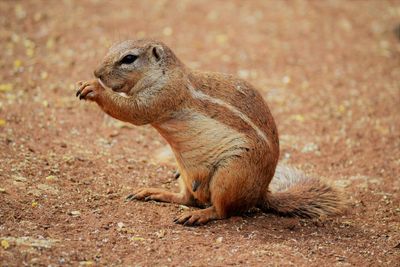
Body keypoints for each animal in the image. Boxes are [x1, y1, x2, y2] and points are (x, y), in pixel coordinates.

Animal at [75, 39, 344, 226]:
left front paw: (94, 88)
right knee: (187, 199)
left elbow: (133, 112)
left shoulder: (163, 96)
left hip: (230, 174)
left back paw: (201, 216)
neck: (167, 74)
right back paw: (155, 192)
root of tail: (261, 193)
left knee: (223, 211)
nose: (97, 72)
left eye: (129, 58)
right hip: (185, 171)